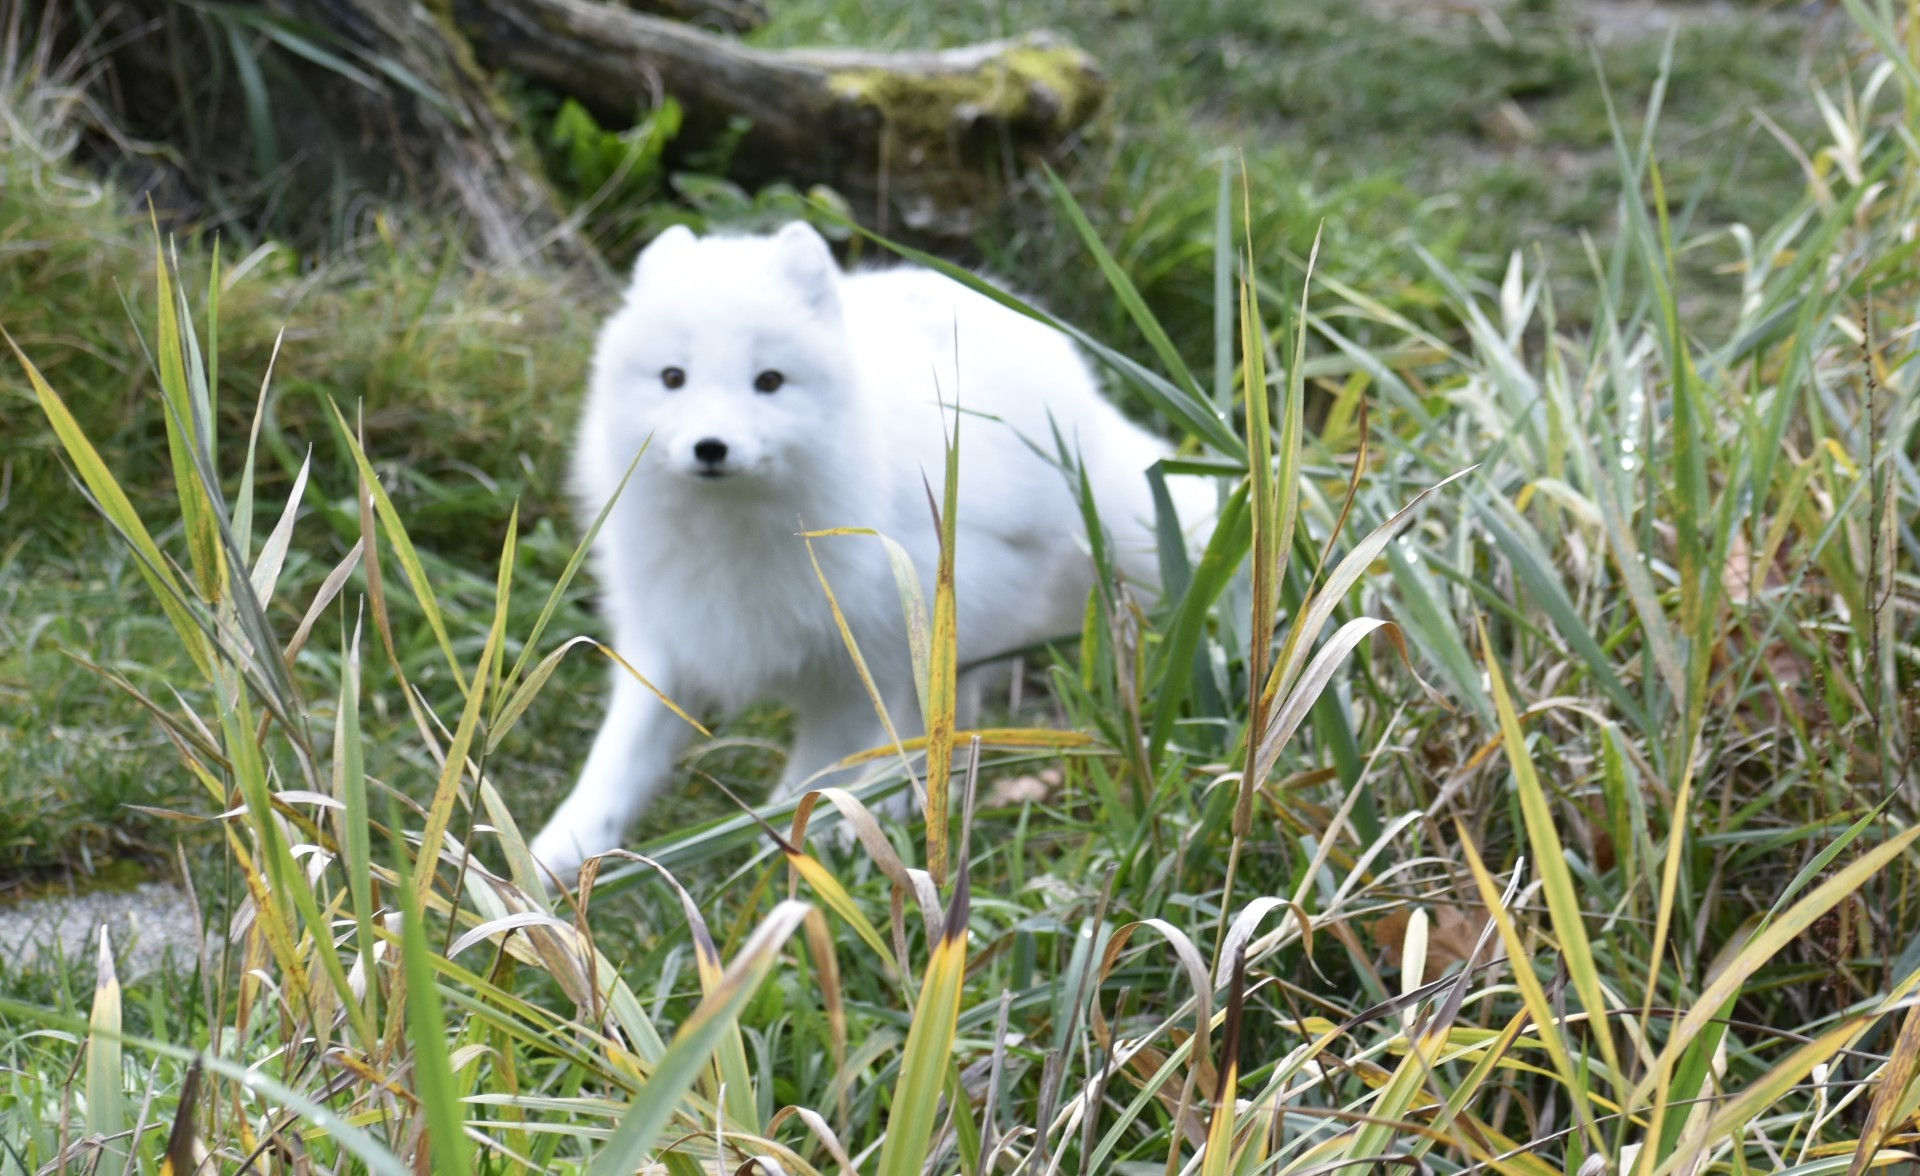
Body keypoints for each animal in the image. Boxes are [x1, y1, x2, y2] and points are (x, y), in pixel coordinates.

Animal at [529, 221, 1207, 879]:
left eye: (768, 382)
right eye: (673, 377)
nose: (711, 447)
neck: (734, 534)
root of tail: (1082, 398)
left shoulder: (857, 668)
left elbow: (815, 776)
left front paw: (782, 859)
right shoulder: (667, 641)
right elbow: (618, 760)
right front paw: (557, 854)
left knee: (937, 713)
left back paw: (898, 804)